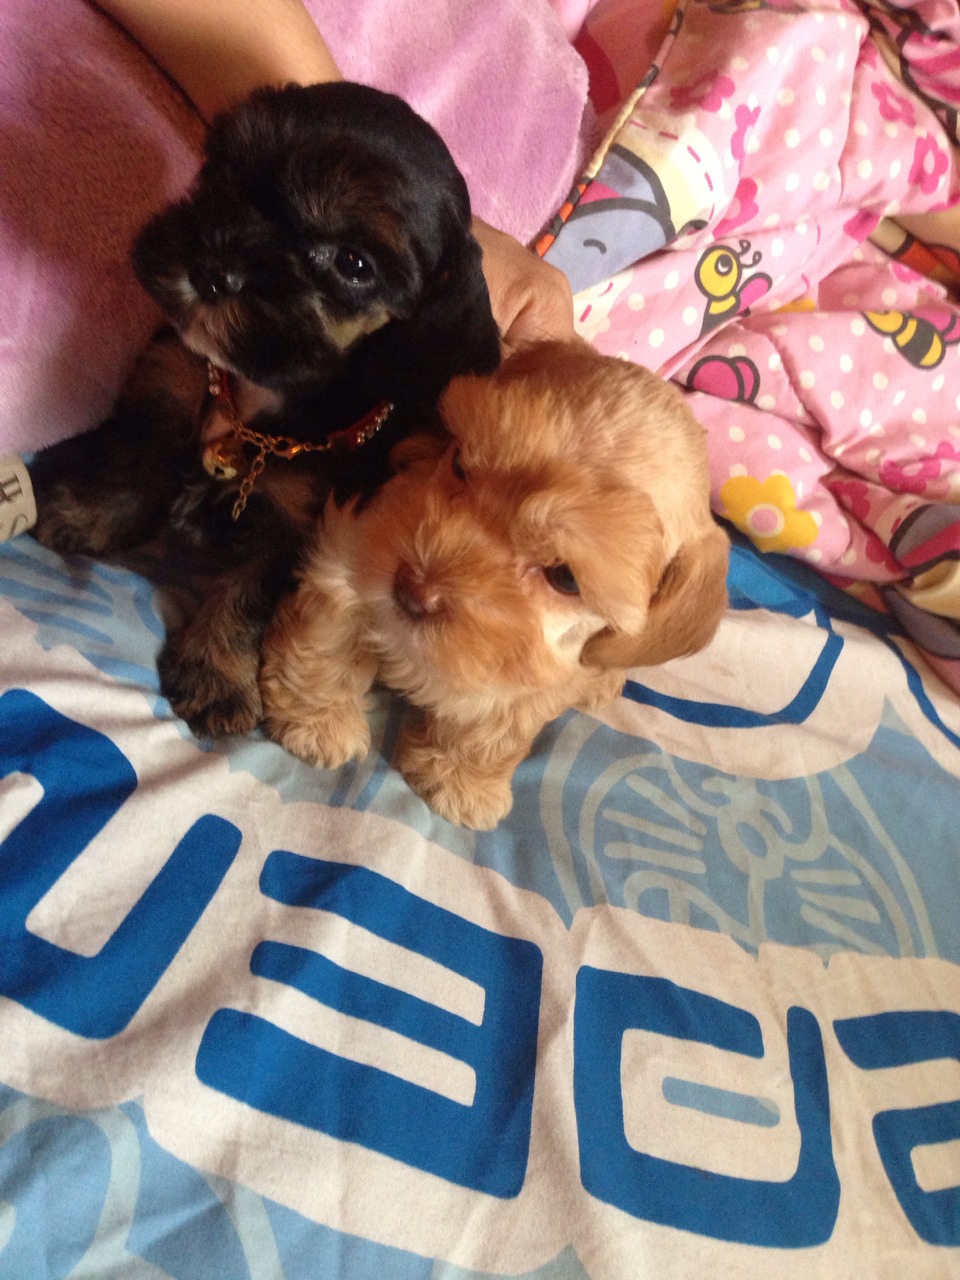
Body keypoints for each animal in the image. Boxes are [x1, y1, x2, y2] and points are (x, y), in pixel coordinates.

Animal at [29, 81, 500, 737]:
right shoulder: (169, 384)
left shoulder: (296, 523)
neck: (259, 398)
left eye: (354, 264)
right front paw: (85, 515)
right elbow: (134, 465)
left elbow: (248, 594)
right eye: (229, 172)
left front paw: (216, 673)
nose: (211, 270)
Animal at [259, 339, 730, 829]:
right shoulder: (352, 549)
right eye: (459, 464)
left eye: (565, 577)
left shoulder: (528, 685)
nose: (413, 589)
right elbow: (326, 638)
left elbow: (492, 734)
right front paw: (317, 721)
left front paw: (460, 784)